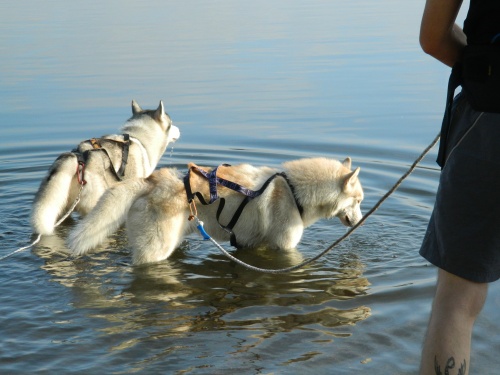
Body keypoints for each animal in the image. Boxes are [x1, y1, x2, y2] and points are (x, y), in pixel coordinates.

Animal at [68, 157, 362, 266]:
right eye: (358, 201)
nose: (360, 223)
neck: (294, 191)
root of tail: (151, 181)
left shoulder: (249, 244)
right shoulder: (285, 247)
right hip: (155, 251)